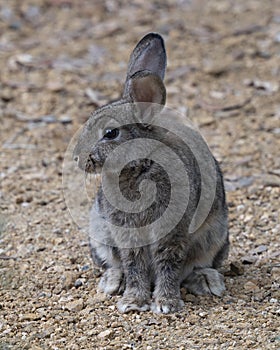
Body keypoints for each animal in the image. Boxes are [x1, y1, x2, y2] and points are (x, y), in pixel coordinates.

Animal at [73, 32, 229, 314]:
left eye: (111, 133)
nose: (78, 158)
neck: (139, 167)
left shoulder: (173, 230)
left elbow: (168, 262)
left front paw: (166, 304)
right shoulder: (126, 232)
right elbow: (134, 264)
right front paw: (133, 302)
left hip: (216, 237)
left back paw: (206, 281)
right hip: (100, 234)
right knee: (114, 264)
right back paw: (113, 281)